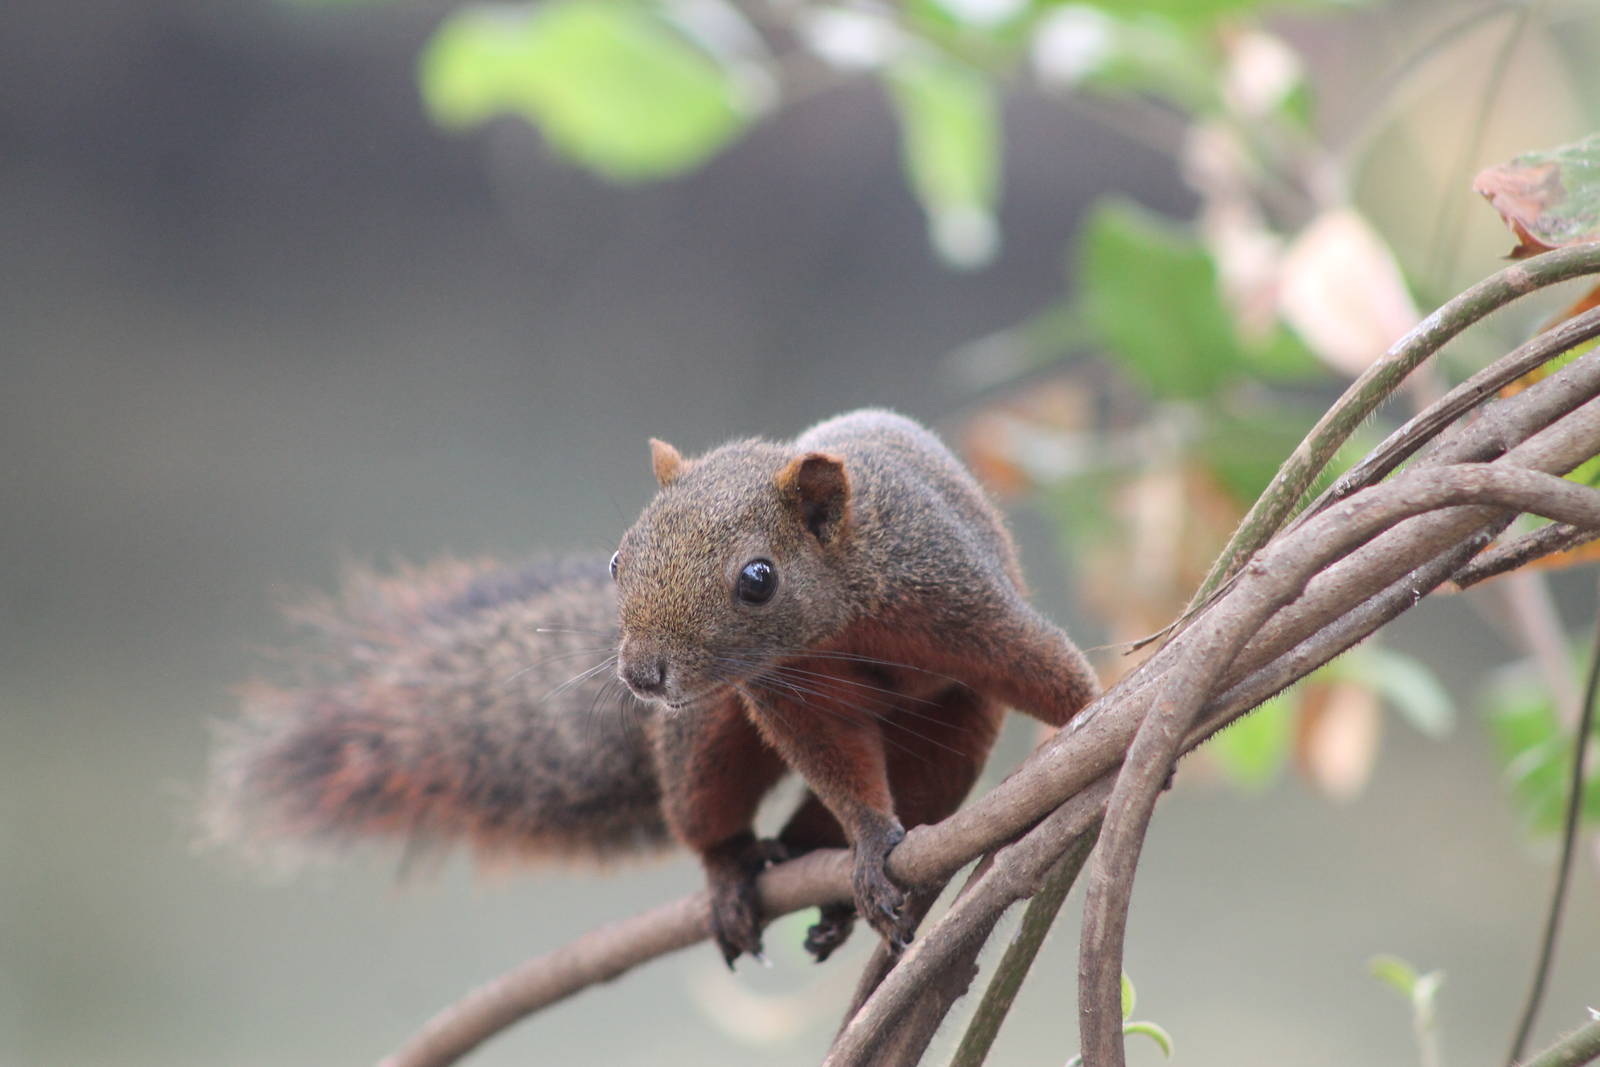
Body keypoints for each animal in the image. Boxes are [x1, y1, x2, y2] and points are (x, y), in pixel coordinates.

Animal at [207, 409, 1101, 965]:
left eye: (757, 578)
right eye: (618, 558)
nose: (638, 672)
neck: (841, 621)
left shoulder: (954, 597)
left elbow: (1040, 662)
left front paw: (1096, 728)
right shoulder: (788, 695)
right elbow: (838, 762)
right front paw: (873, 837)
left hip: (950, 742)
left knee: (918, 779)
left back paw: (826, 878)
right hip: (704, 735)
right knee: (715, 815)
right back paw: (746, 870)